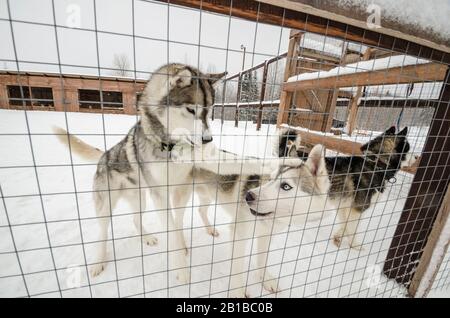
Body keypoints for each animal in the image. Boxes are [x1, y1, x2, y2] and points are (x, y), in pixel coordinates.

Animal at [55, 63, 227, 282]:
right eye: (191, 109)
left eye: (210, 110)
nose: (207, 140)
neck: (171, 146)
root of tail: (105, 154)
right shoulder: (159, 194)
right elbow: (171, 228)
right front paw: (181, 270)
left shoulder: (182, 188)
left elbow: (177, 222)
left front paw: (181, 246)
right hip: (106, 205)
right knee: (102, 232)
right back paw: (98, 262)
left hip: (140, 199)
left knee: (136, 219)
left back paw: (146, 237)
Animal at [264, 126, 414, 248]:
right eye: (408, 148)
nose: (417, 158)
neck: (376, 163)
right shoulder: (357, 209)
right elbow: (351, 229)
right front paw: (355, 247)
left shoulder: (344, 206)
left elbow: (345, 225)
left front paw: (338, 238)